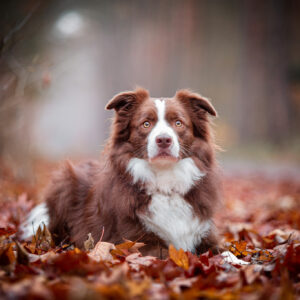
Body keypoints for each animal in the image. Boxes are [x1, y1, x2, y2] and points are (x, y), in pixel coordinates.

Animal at [21, 88, 221, 256]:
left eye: (178, 123)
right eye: (146, 124)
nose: (164, 140)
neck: (165, 183)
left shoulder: (205, 234)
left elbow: (222, 252)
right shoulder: (135, 241)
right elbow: (170, 254)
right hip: (64, 181)